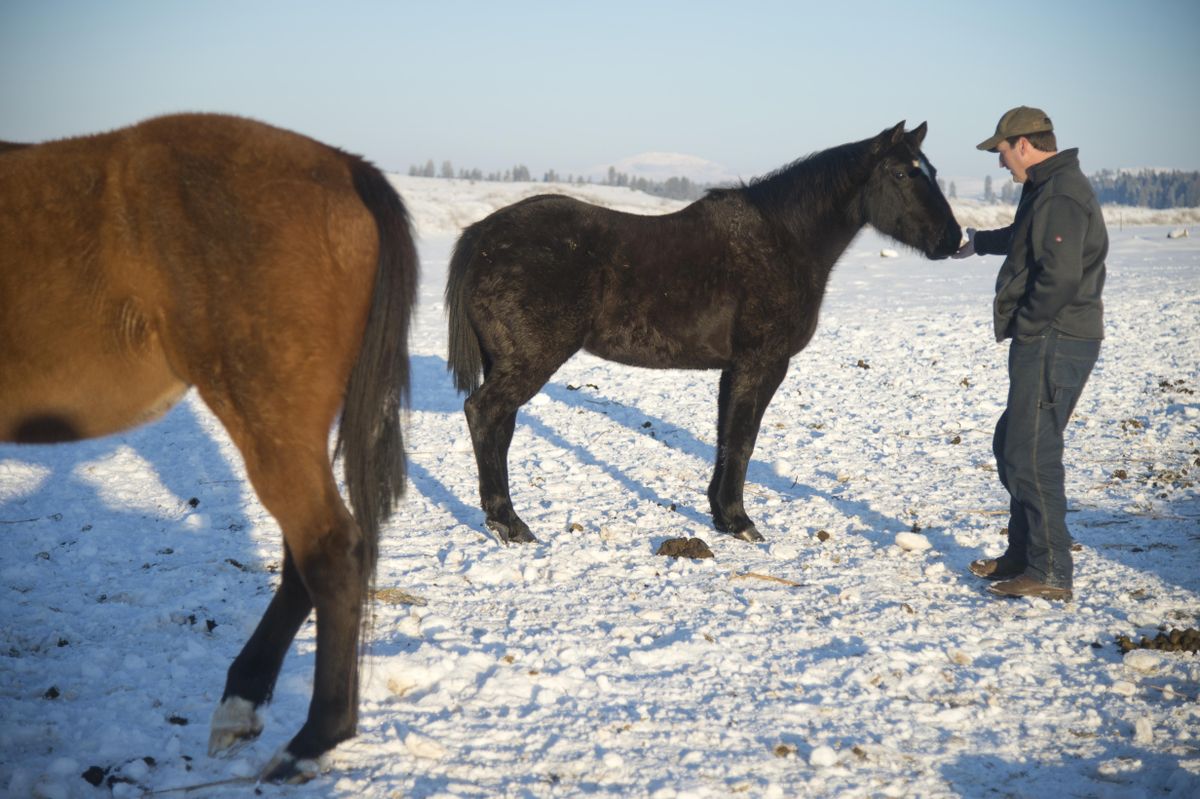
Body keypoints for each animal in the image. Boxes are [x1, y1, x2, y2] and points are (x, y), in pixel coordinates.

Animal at [0, 113, 417, 782]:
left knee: (330, 551)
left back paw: (311, 740)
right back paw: (244, 707)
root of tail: (344, 164)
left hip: (266, 415)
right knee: (305, 558)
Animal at [446, 122, 961, 545]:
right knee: (484, 413)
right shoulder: (762, 364)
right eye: (903, 174)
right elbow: (743, 439)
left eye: (932, 171)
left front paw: (721, 515)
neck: (784, 240)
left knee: (499, 426)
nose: (953, 239)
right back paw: (510, 524)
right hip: (530, 361)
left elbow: (726, 437)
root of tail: (483, 234)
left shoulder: (734, 370)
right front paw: (739, 521)